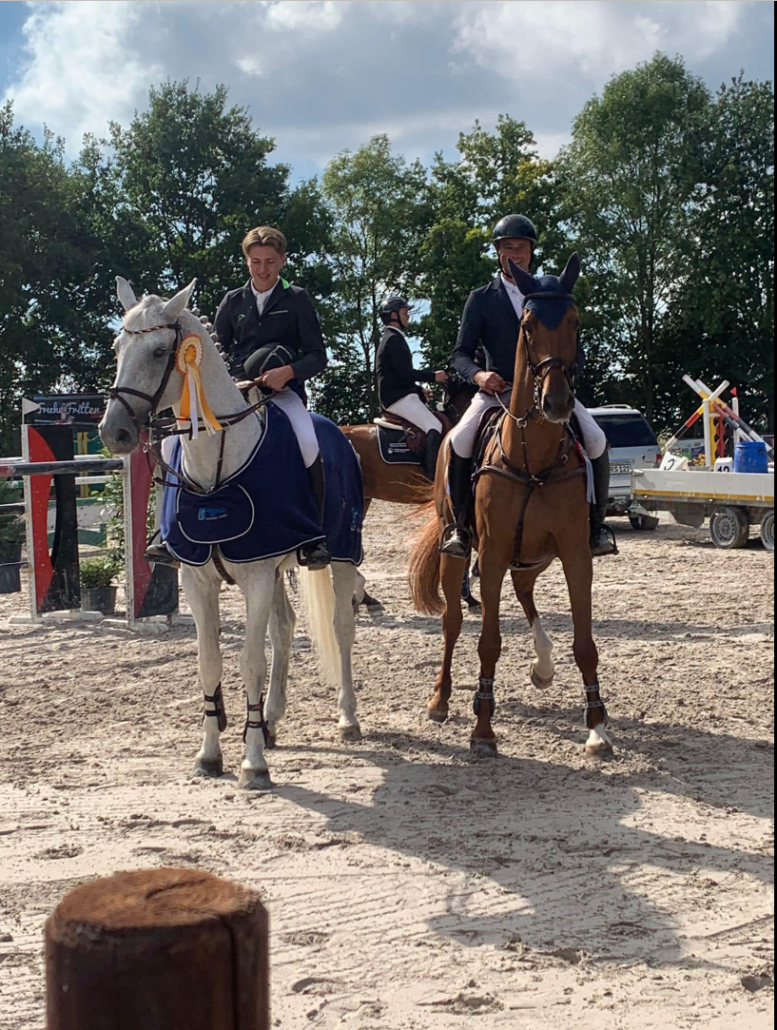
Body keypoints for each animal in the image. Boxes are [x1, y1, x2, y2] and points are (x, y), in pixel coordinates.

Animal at [406, 257, 610, 758]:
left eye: (575, 322)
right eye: (527, 325)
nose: (557, 403)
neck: (534, 457)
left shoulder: (575, 554)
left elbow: (585, 642)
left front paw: (597, 727)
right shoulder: (494, 555)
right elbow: (488, 642)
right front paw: (482, 729)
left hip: (534, 556)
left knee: (526, 593)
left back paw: (543, 666)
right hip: (459, 551)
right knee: (453, 622)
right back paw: (440, 700)